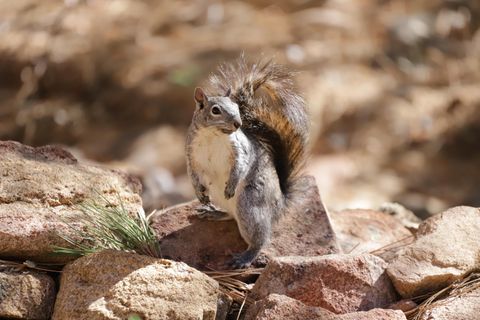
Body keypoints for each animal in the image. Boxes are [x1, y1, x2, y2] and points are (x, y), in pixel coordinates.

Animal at [186, 57, 310, 268]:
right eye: (215, 110)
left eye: (237, 108)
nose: (238, 123)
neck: (212, 136)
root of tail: (280, 206)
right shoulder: (190, 153)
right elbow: (193, 174)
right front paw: (199, 194)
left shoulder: (241, 150)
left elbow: (240, 166)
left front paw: (231, 185)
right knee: (230, 215)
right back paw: (214, 213)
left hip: (250, 205)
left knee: (260, 239)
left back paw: (246, 256)